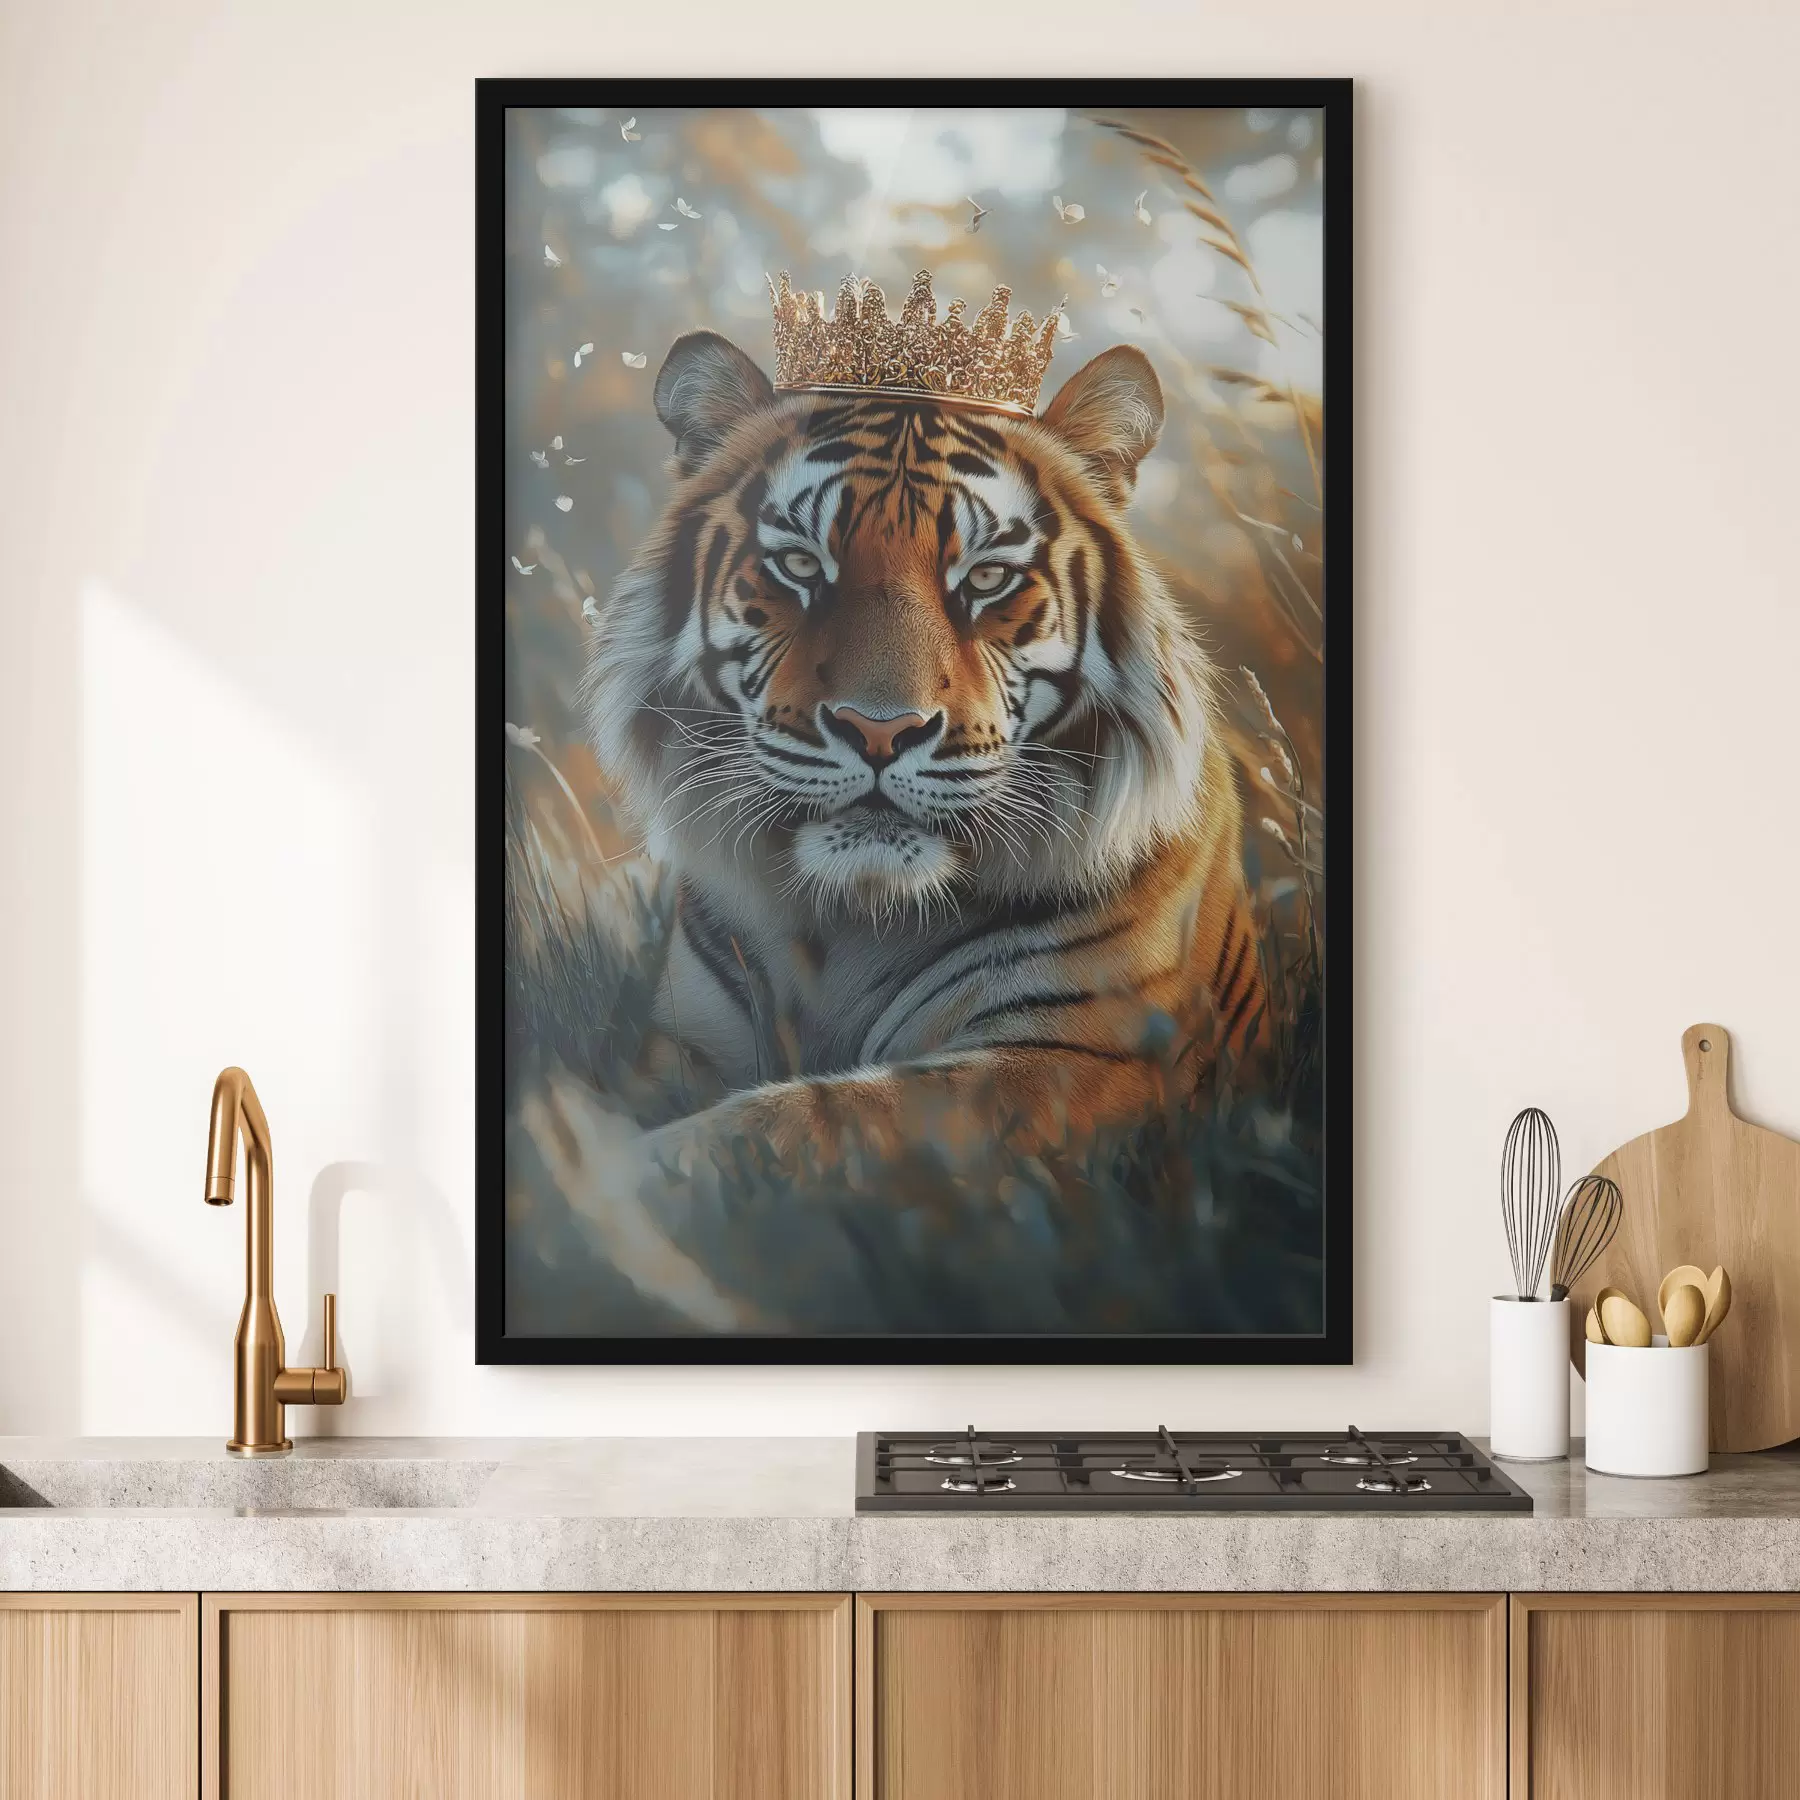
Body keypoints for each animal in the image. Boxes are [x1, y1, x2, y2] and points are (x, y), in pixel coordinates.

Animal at [581, 326, 1265, 1176]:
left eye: (989, 577)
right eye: (800, 564)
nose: (880, 730)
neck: (853, 921)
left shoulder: (1075, 1059)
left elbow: (810, 1119)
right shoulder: (685, 1036)